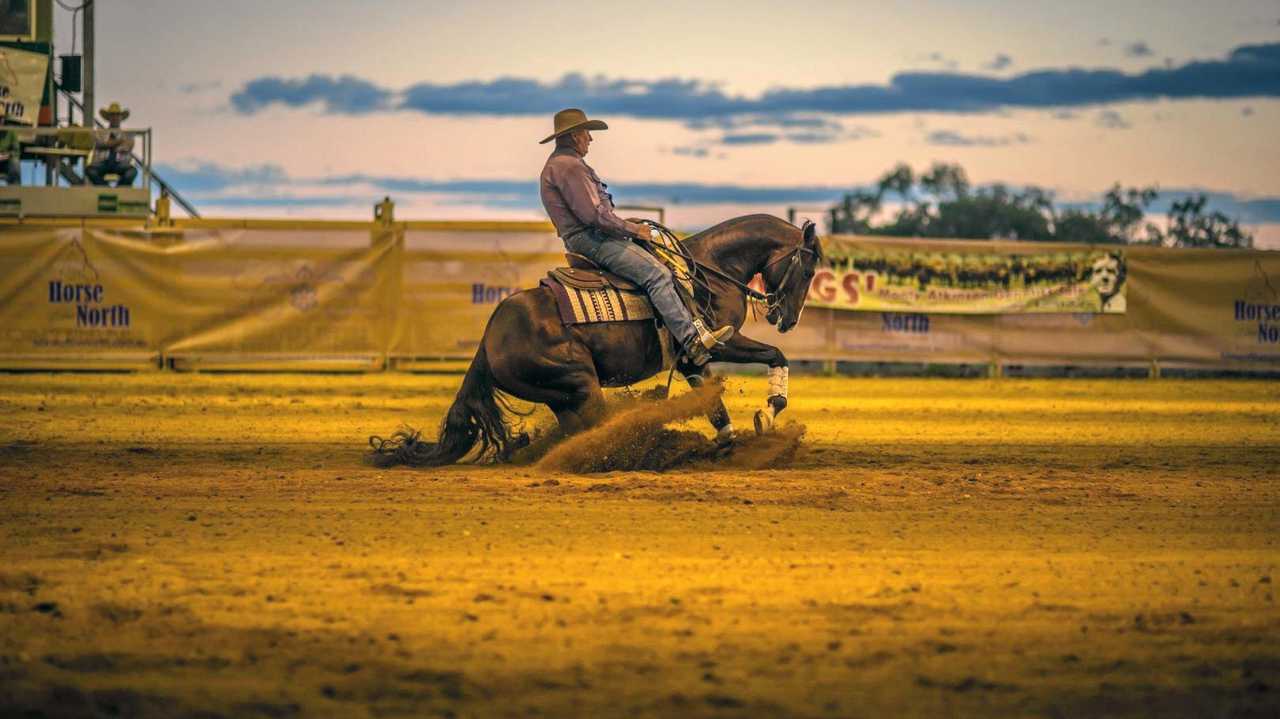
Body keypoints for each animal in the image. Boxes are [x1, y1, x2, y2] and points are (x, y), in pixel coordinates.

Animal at [373, 212, 824, 465]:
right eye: (807, 270)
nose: (787, 319)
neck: (708, 272)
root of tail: (488, 340)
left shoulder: (691, 360)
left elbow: (714, 404)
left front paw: (729, 442)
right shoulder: (716, 341)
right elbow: (775, 355)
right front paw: (769, 413)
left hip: (561, 395)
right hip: (580, 382)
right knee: (597, 427)